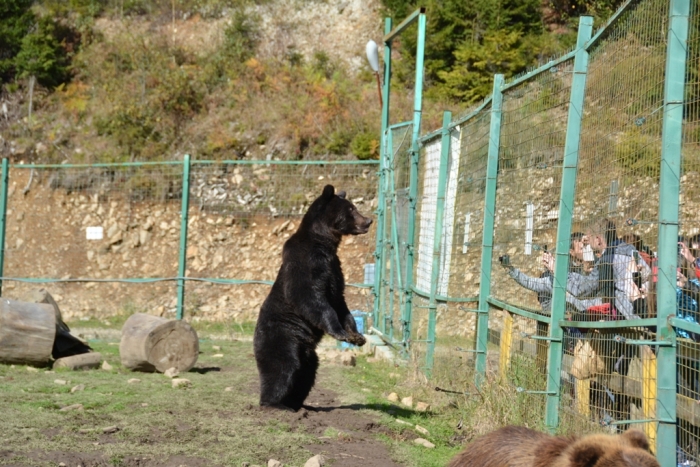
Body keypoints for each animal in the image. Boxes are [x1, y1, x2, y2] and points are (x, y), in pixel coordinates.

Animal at [252, 185, 372, 412]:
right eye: (351, 209)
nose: (368, 220)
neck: (325, 243)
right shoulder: (307, 263)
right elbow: (311, 298)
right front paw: (340, 332)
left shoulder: (334, 267)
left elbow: (340, 303)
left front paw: (357, 336)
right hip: (282, 335)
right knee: (283, 367)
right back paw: (275, 404)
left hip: (307, 353)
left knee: (306, 374)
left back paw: (297, 404)